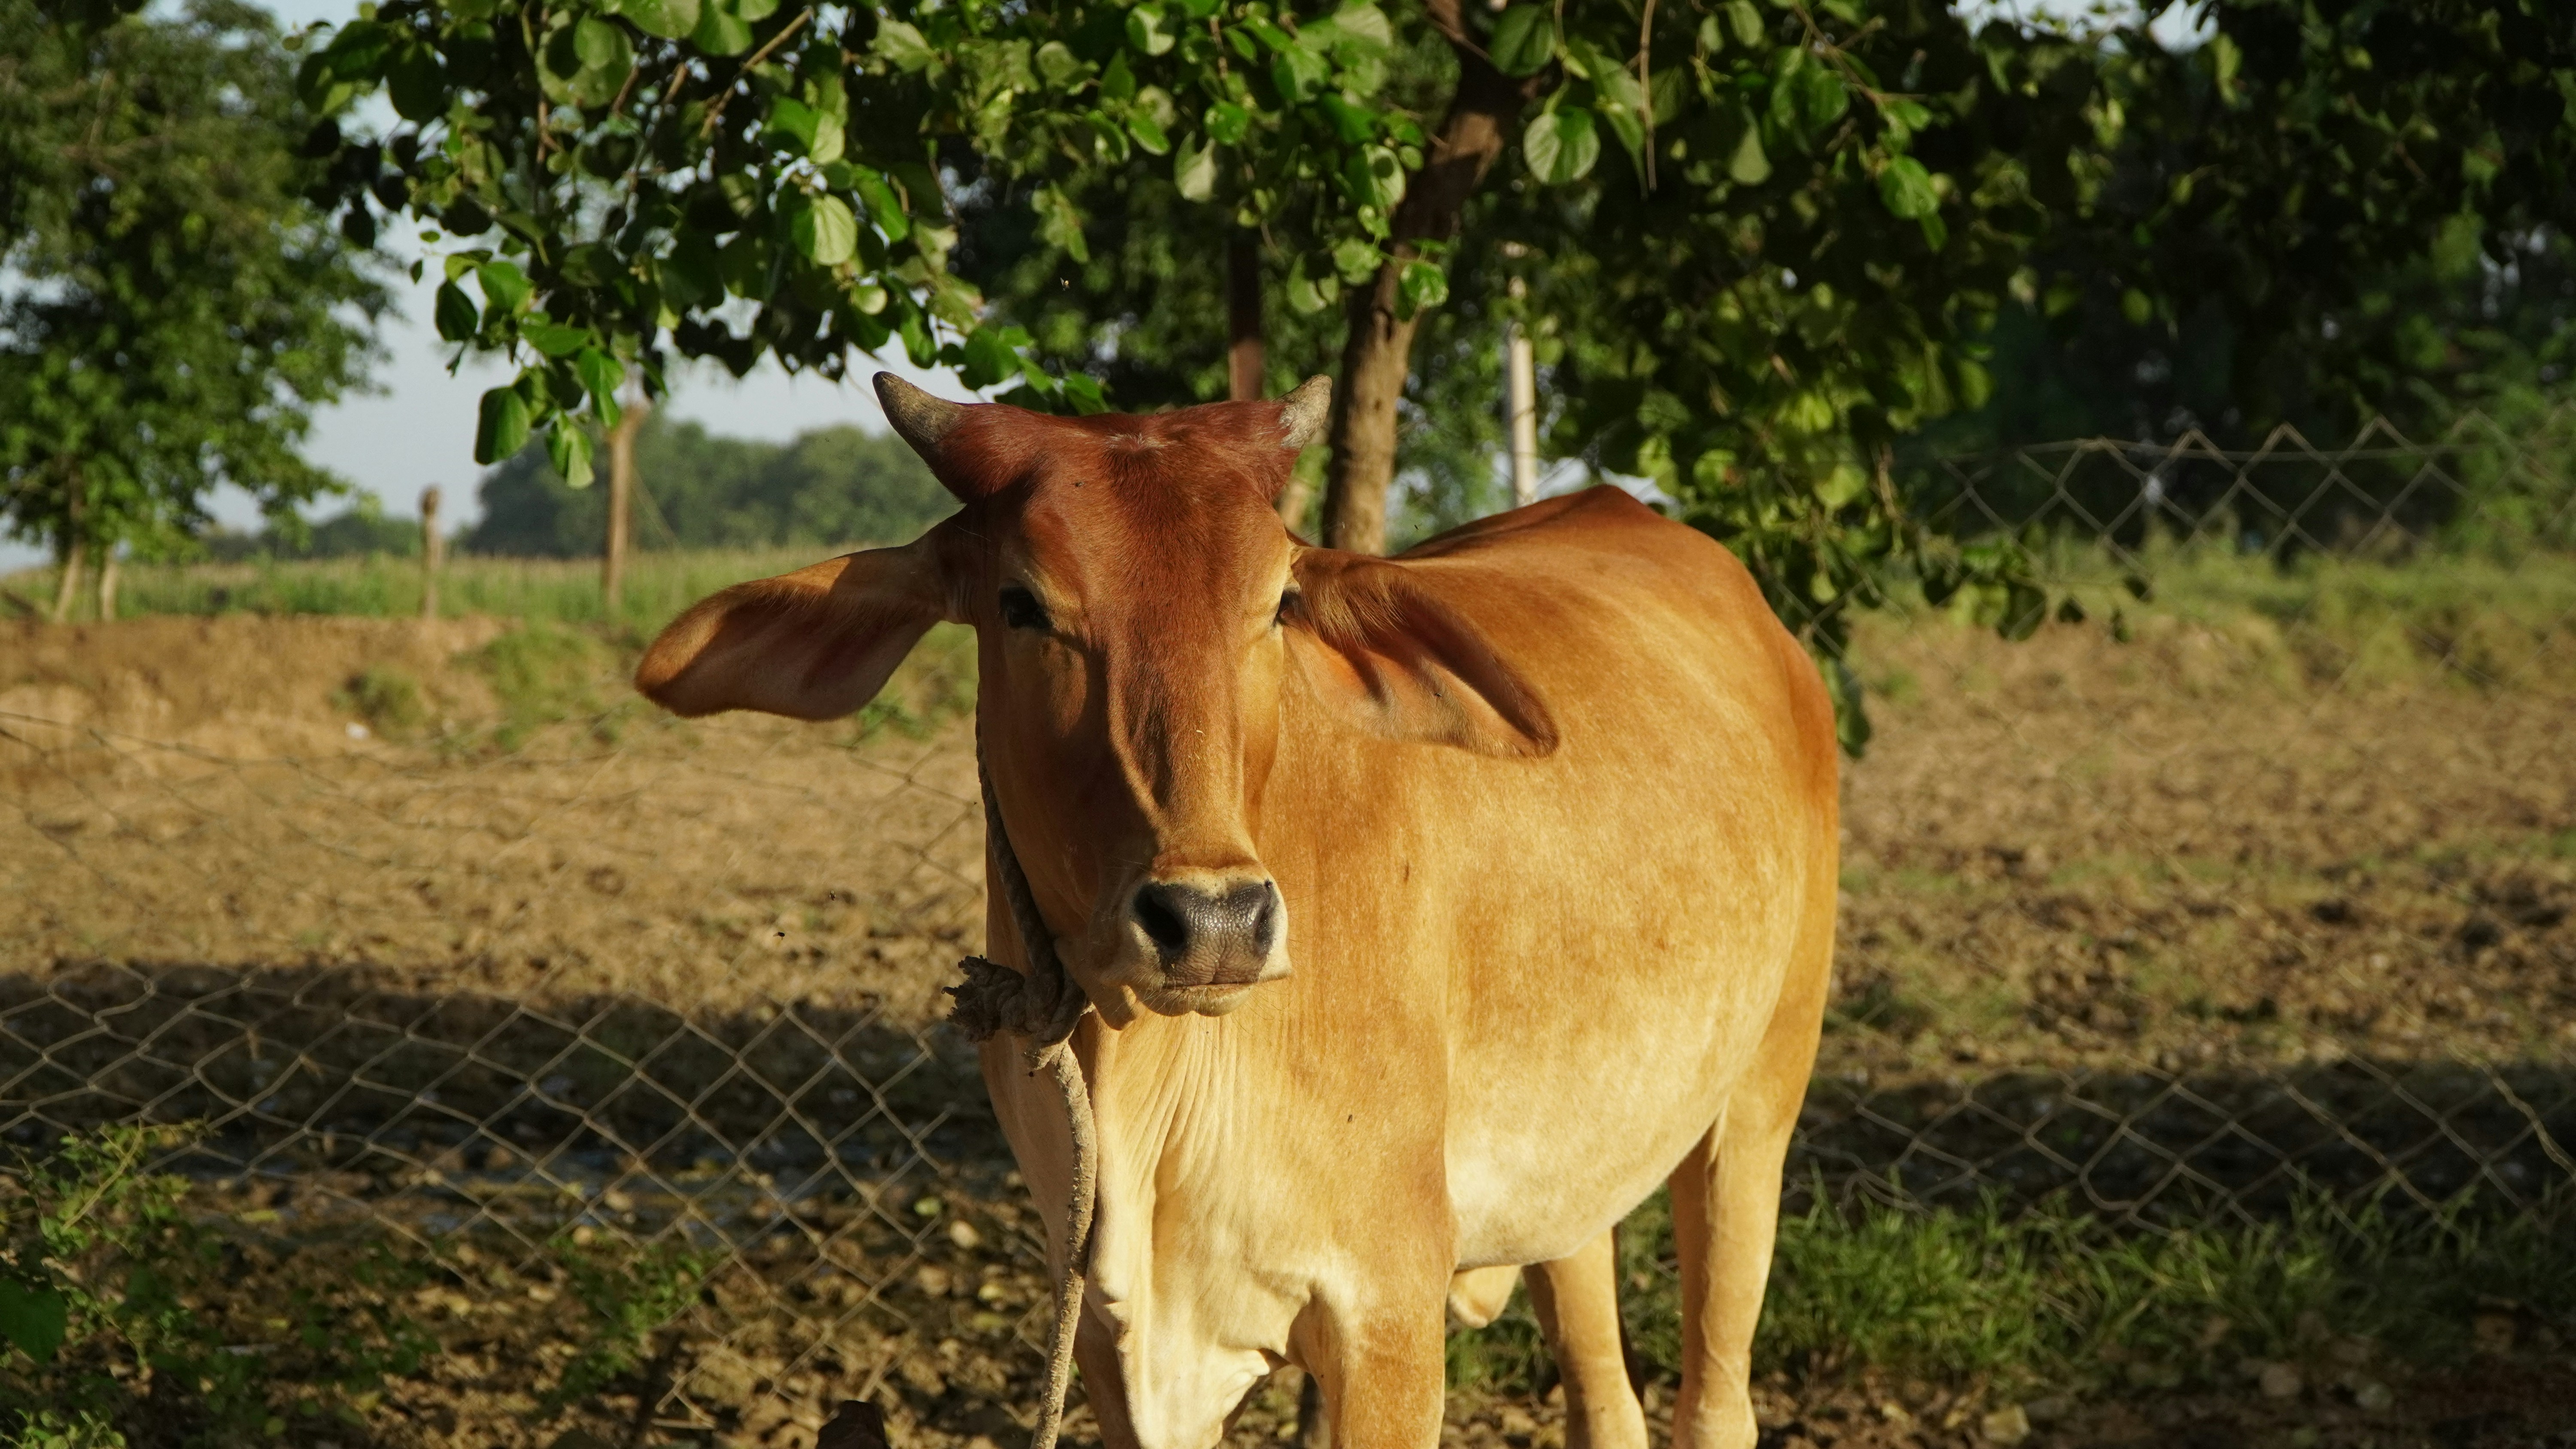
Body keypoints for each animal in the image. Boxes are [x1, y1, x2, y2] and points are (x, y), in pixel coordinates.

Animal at [635, 374, 1840, 1449]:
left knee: (1717, 1392)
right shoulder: (1113, 1337)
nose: (1212, 923)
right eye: (1023, 605)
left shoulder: (1387, 1315)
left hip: (1758, 1105)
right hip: (1577, 1176)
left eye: (1276, 605)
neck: (1144, 1077)